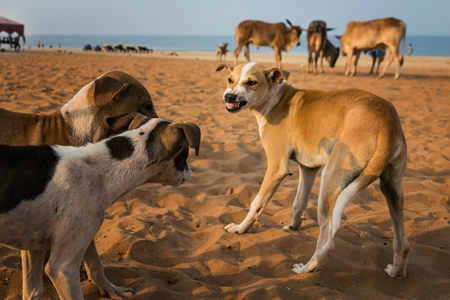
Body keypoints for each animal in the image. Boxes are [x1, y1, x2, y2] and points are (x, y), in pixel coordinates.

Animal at [0, 118, 200, 298]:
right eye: (185, 156)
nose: (190, 174)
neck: (100, 172)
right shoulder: (62, 268)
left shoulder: (35, 246)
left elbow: (94, 265)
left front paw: (111, 290)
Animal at [216, 62, 410, 278]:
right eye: (230, 79)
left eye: (251, 82)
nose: (229, 97)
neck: (275, 99)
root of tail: (385, 122)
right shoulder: (308, 169)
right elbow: (298, 202)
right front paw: (293, 227)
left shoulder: (276, 167)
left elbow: (256, 203)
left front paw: (240, 228)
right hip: (391, 188)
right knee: (403, 243)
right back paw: (396, 271)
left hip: (330, 181)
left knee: (327, 242)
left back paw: (305, 269)